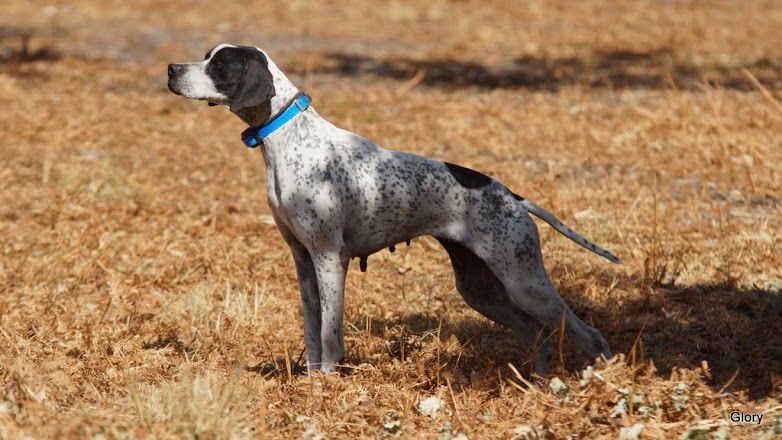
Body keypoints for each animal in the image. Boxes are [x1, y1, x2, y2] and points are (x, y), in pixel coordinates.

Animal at [168, 44, 621, 374]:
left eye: (219, 64)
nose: (171, 68)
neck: (290, 137)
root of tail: (512, 195)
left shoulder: (330, 259)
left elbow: (331, 336)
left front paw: (327, 386)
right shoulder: (303, 261)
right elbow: (313, 333)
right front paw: (311, 382)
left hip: (525, 282)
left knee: (588, 334)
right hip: (482, 291)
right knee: (539, 333)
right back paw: (539, 383)